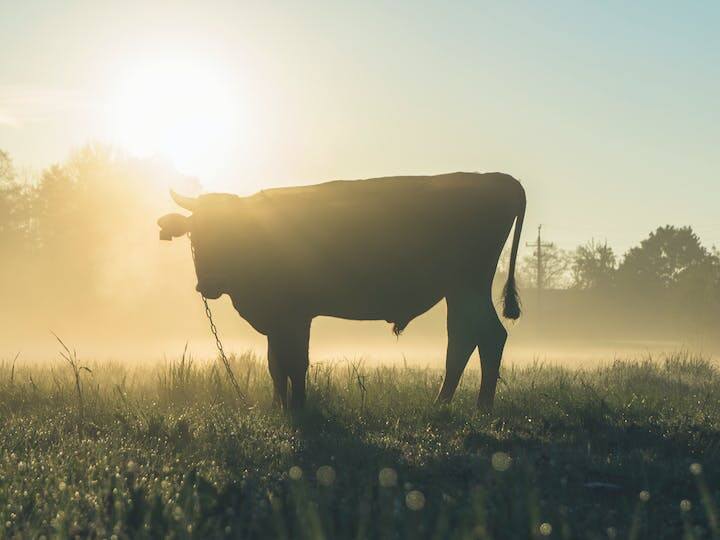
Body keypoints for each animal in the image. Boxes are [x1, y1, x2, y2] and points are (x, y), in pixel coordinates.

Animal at [160, 171, 524, 412]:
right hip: (459, 291)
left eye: (231, 232)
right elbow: (275, 364)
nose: (208, 283)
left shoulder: (295, 316)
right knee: (465, 338)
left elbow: (296, 362)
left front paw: (298, 407)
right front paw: (279, 407)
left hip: (468, 285)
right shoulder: (278, 320)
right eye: (195, 234)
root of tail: (498, 179)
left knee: (487, 336)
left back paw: (479, 406)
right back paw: (446, 403)